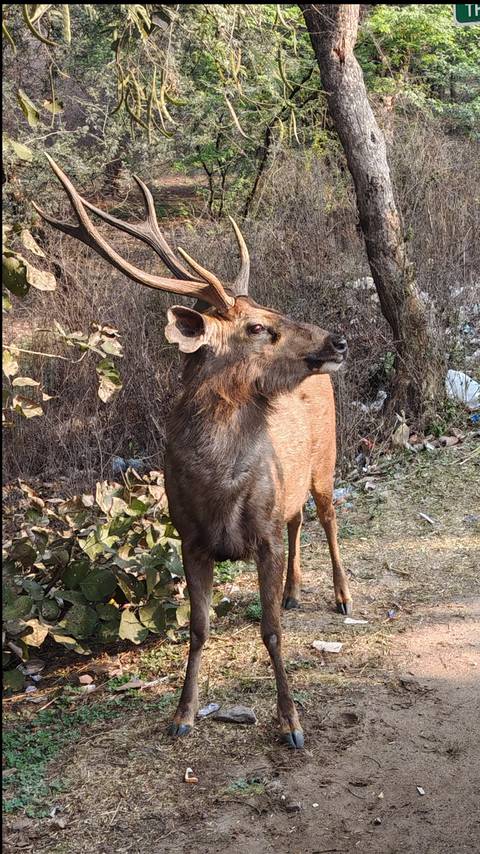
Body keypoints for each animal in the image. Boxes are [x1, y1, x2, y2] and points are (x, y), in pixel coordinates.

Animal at [36, 155, 352, 749]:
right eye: (259, 327)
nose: (338, 340)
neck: (219, 488)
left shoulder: (263, 535)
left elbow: (271, 631)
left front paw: (292, 722)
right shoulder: (189, 537)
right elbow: (199, 628)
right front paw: (182, 715)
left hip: (327, 461)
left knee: (327, 517)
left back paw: (343, 597)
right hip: (295, 483)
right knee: (299, 519)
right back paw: (296, 591)